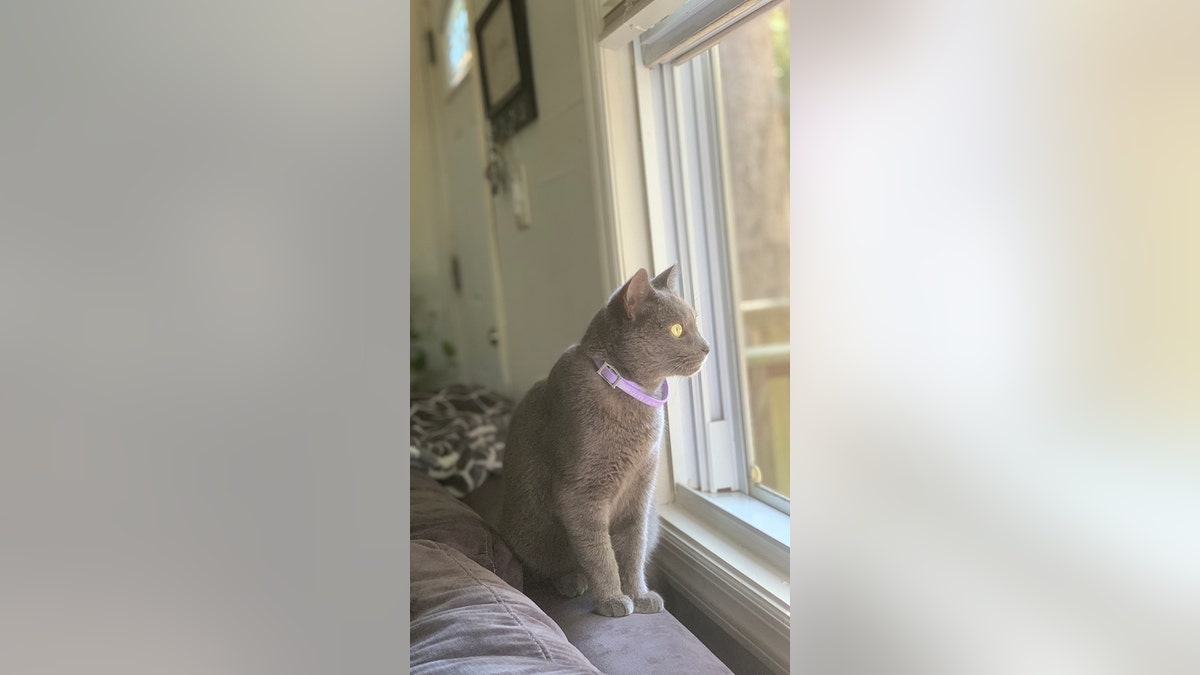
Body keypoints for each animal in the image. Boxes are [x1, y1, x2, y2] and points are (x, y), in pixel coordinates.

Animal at [499, 264, 705, 614]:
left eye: (695, 321)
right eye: (677, 329)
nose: (707, 347)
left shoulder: (640, 492)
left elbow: (632, 548)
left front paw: (638, 594)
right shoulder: (579, 493)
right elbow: (600, 552)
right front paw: (612, 599)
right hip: (530, 531)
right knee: (551, 566)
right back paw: (571, 580)